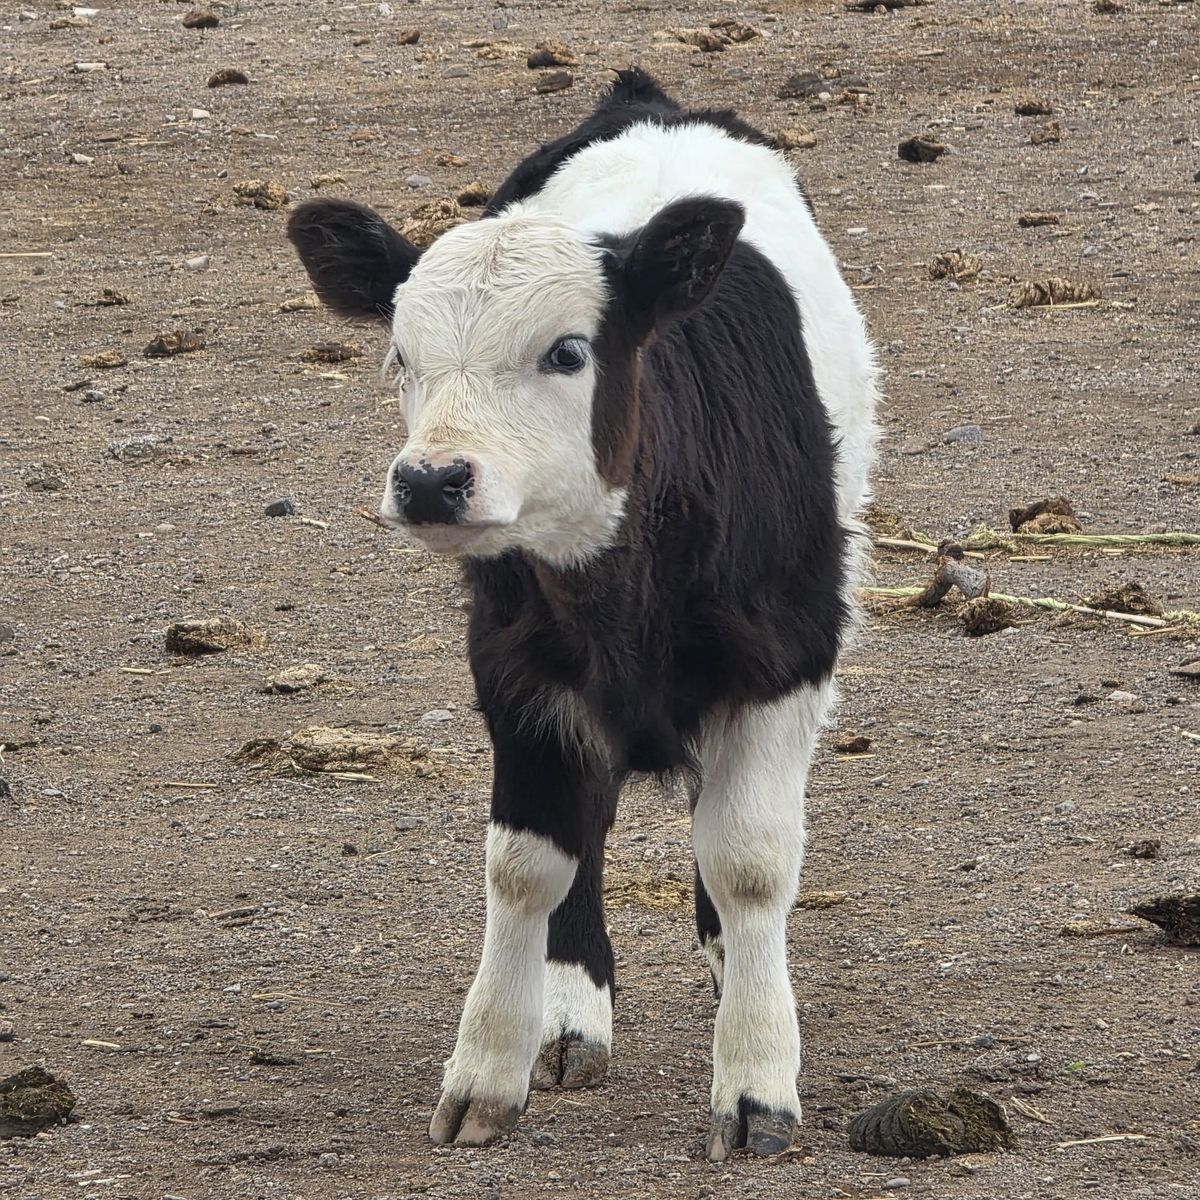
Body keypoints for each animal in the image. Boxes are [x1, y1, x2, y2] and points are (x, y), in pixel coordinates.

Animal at [286, 67, 880, 1161]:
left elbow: (749, 858)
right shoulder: (518, 668)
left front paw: (756, 1079)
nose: (430, 481)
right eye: (400, 357)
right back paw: (570, 1021)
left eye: (567, 352)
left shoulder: (787, 655)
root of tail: (649, 100)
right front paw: (491, 1065)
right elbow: (529, 859)